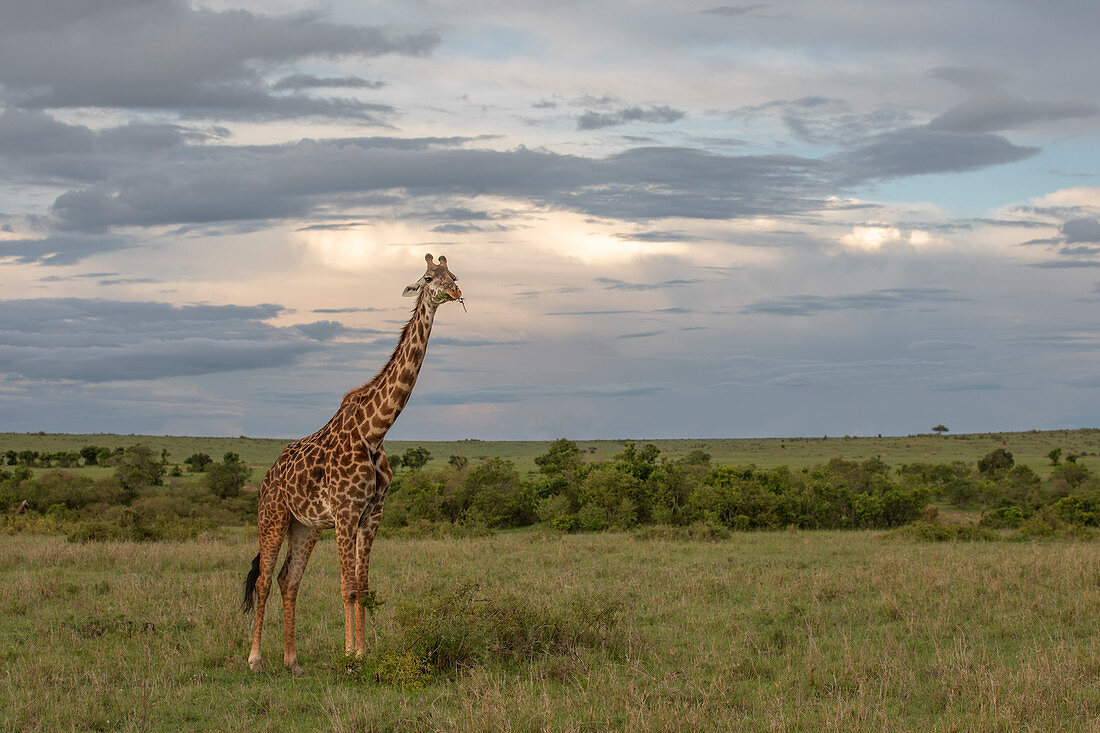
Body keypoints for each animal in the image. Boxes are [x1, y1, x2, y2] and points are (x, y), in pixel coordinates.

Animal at [243, 253, 462, 673]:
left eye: (453, 274)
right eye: (429, 278)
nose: (456, 292)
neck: (373, 431)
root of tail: (267, 476)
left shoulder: (372, 514)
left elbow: (363, 587)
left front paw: (362, 653)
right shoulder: (345, 513)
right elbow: (346, 588)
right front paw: (349, 657)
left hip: (305, 526)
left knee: (288, 579)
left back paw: (292, 662)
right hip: (273, 517)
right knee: (262, 580)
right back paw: (256, 660)